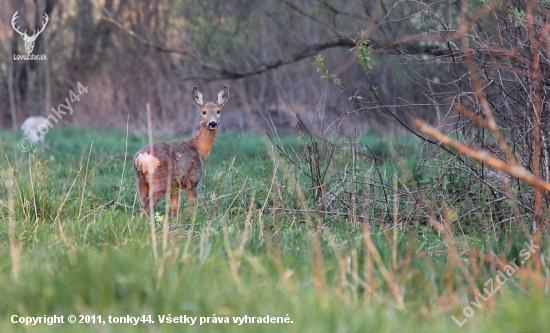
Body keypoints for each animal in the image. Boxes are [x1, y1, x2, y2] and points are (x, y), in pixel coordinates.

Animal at [134, 86, 229, 218]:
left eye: (218, 111)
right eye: (204, 112)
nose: (213, 123)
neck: (197, 148)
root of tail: (142, 158)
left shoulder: (175, 187)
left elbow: (175, 210)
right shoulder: (193, 180)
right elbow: (191, 208)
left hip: (141, 181)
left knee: (143, 204)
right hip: (159, 182)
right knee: (146, 207)